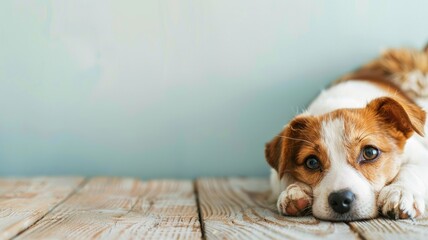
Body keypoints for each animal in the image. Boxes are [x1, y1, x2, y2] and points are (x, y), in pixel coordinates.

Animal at [266, 45, 428, 221]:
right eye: (312, 162)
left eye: (370, 152)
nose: (340, 200)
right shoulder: (275, 175)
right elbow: (285, 177)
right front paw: (295, 191)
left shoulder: (420, 155)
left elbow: (410, 170)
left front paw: (400, 192)